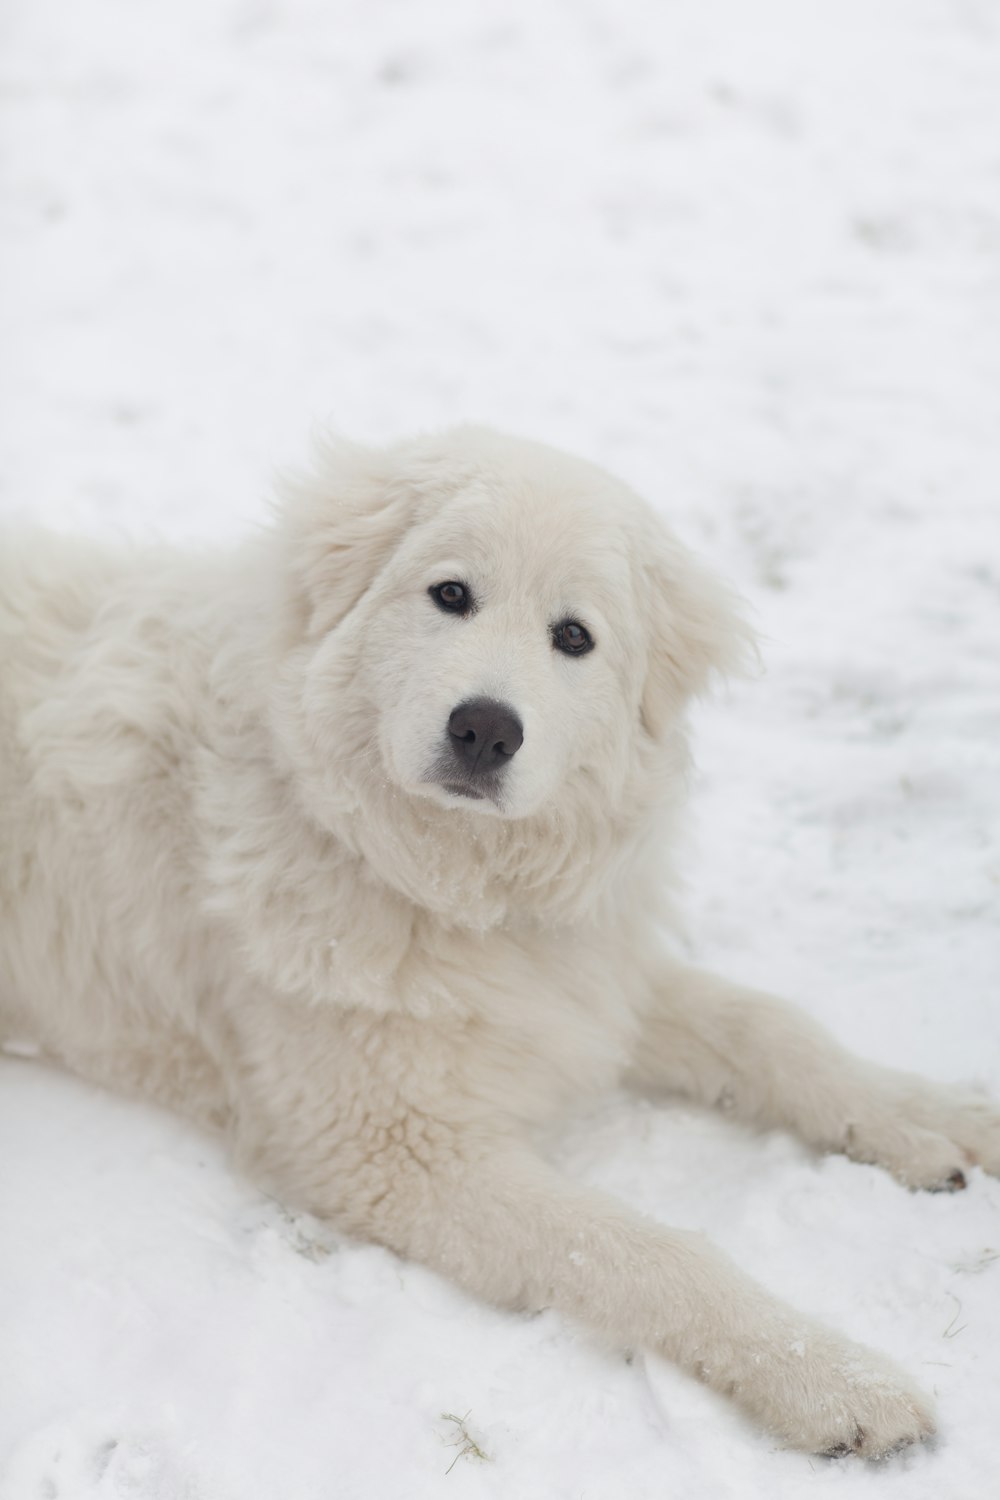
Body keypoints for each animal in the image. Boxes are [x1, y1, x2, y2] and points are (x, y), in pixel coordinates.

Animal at [0, 429, 995, 1458]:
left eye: (574, 637)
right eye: (451, 594)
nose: (484, 729)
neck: (438, 879)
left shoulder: (577, 978)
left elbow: (772, 1030)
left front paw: (940, 1117)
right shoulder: (396, 1152)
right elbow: (641, 1247)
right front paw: (836, 1381)